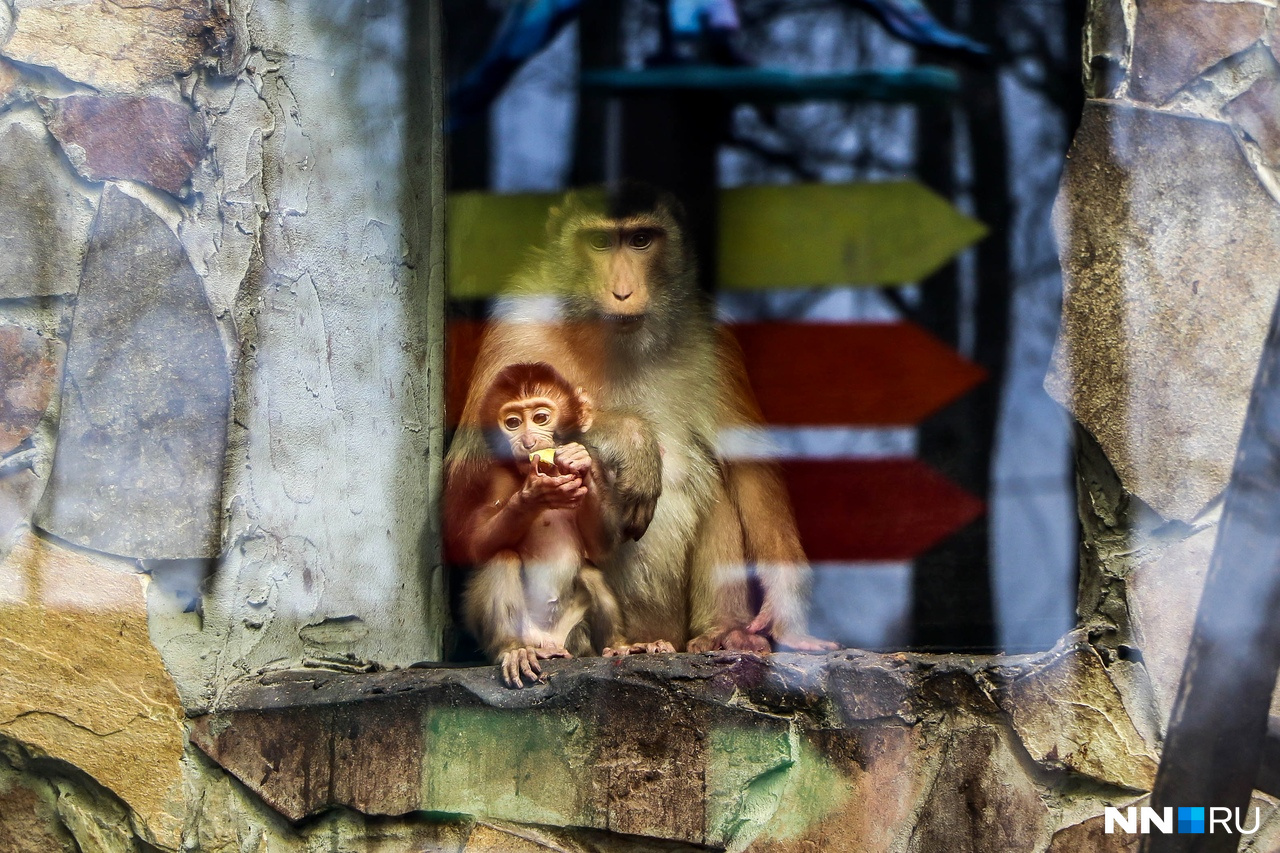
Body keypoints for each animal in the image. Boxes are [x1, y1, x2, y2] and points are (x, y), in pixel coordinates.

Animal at [445, 184, 834, 650]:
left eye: (641, 240)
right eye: (599, 242)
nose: (623, 292)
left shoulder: (710, 339)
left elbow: (748, 468)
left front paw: (787, 611)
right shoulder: (519, 324)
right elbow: (465, 484)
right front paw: (632, 437)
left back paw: (724, 631)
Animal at [458, 361, 675, 686]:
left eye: (540, 418)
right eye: (512, 422)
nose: (528, 442)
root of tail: (549, 641)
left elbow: (600, 547)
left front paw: (578, 463)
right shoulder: (498, 476)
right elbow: (475, 543)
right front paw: (532, 495)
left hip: (574, 635)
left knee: (590, 573)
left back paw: (621, 646)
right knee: (502, 558)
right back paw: (513, 650)